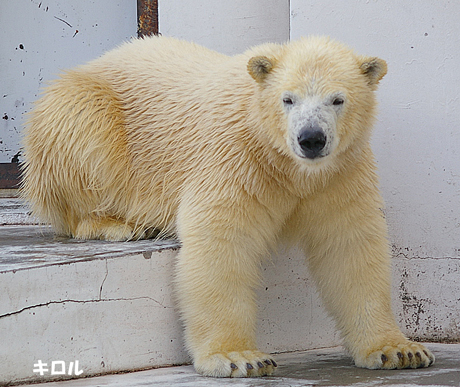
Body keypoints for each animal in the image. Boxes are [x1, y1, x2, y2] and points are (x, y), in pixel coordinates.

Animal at [21, 35, 434, 376]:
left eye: (338, 99)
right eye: (288, 99)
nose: (311, 139)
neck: (287, 165)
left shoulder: (340, 174)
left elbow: (350, 248)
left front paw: (399, 350)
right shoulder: (237, 158)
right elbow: (222, 242)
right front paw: (240, 357)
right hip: (85, 114)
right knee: (86, 141)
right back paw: (121, 224)